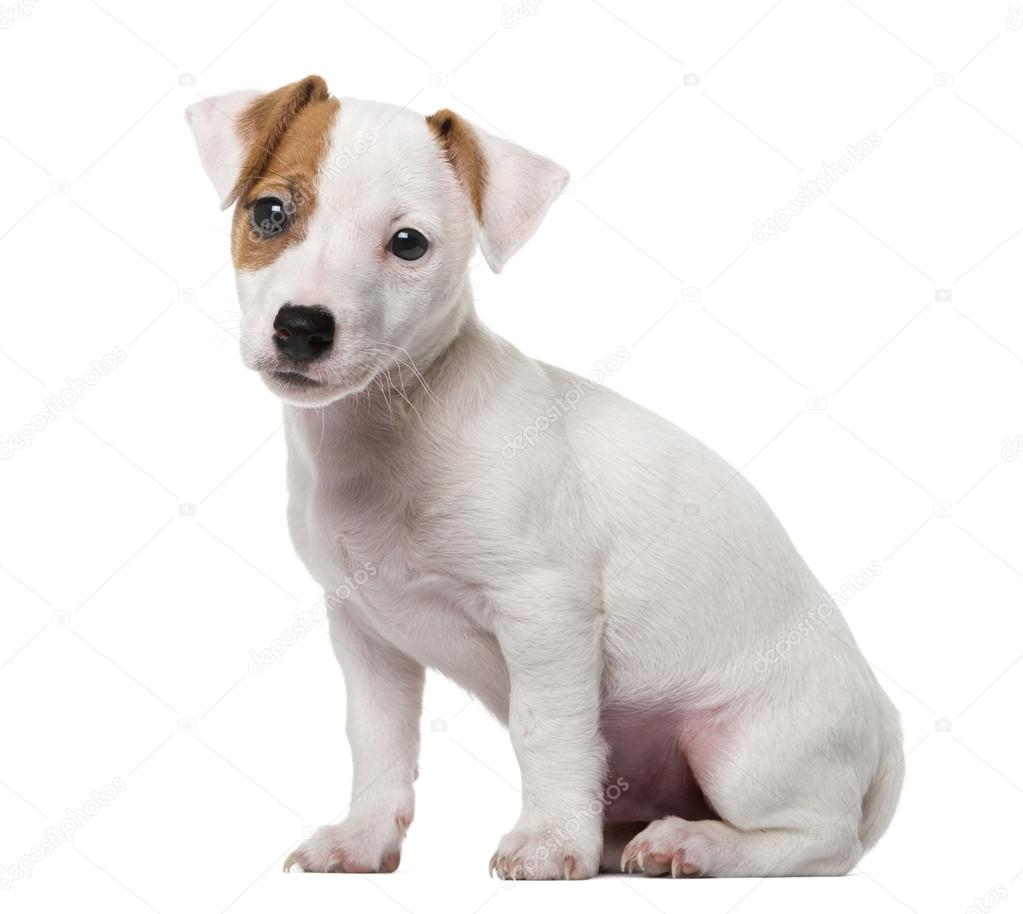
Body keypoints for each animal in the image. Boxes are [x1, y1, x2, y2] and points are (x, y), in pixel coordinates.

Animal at [186, 76, 904, 876]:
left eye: (408, 244)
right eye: (270, 212)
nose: (303, 327)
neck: (388, 433)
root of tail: (885, 723)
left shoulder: (545, 611)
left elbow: (546, 731)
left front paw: (550, 842)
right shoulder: (367, 634)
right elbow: (378, 742)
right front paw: (363, 837)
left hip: (745, 751)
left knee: (821, 840)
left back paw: (694, 843)